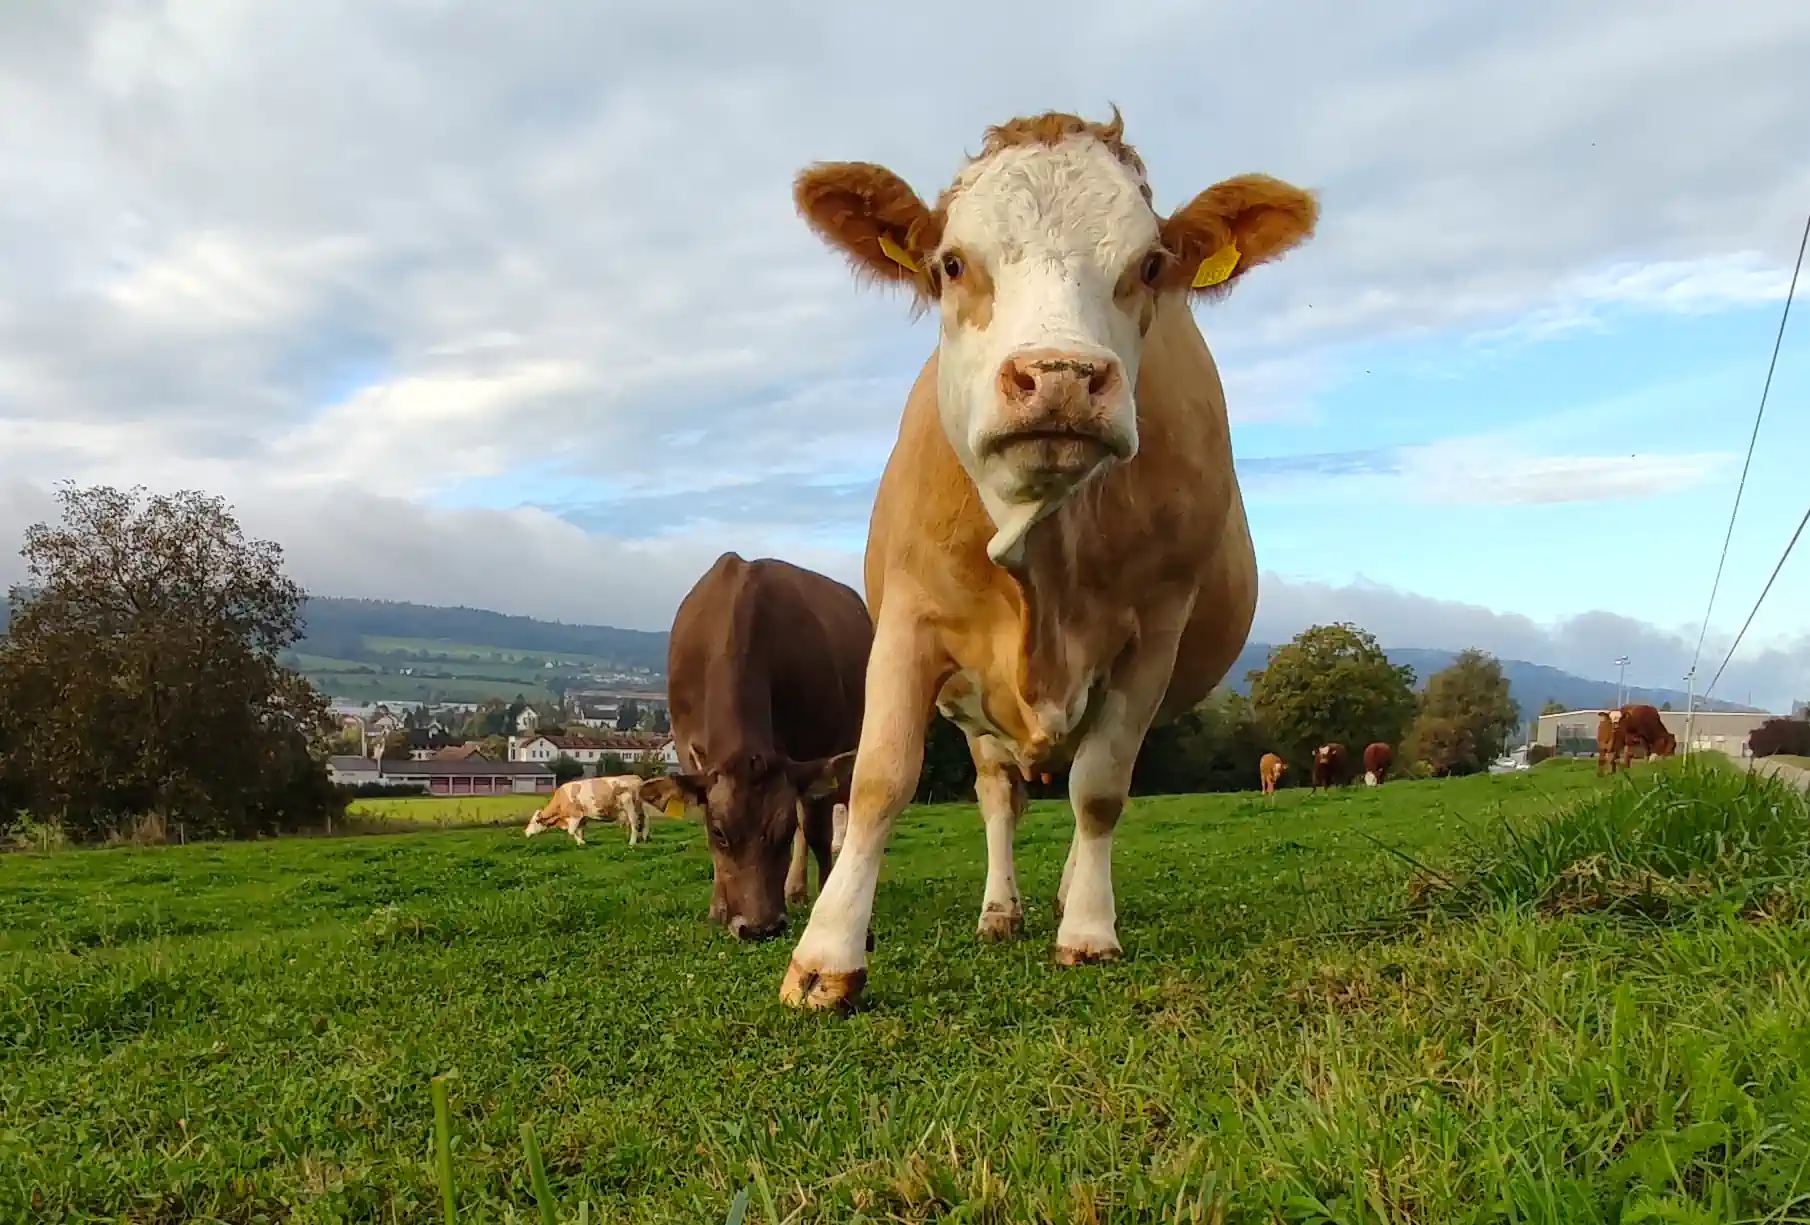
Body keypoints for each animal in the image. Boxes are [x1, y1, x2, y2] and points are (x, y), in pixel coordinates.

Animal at [524, 775, 660, 846]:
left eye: (533, 822)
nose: (525, 832)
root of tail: (635, 777)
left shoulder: (575, 815)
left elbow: (571, 831)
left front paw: (581, 842)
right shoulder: (582, 817)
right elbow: (580, 830)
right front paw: (581, 842)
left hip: (630, 807)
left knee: (634, 824)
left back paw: (632, 842)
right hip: (640, 807)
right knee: (646, 820)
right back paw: (644, 837)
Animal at [639, 554, 868, 943]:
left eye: (782, 831)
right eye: (719, 832)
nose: (760, 927)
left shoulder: (820, 749)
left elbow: (816, 833)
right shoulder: (687, 749)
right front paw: (718, 907)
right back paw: (795, 889)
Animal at [777, 108, 1317, 1011]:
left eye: (1149, 265)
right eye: (952, 263)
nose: (1060, 375)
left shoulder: (1153, 633)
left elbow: (1099, 789)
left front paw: (1089, 931)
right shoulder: (911, 619)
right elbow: (883, 778)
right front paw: (827, 955)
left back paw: (1070, 892)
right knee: (1000, 793)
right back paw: (1001, 909)